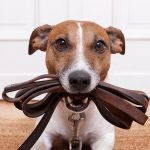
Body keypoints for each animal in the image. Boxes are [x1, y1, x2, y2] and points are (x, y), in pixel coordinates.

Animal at [28, 20, 125, 150]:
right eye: (61, 43)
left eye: (99, 45)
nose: (80, 79)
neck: (76, 115)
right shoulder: (41, 138)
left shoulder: (104, 138)